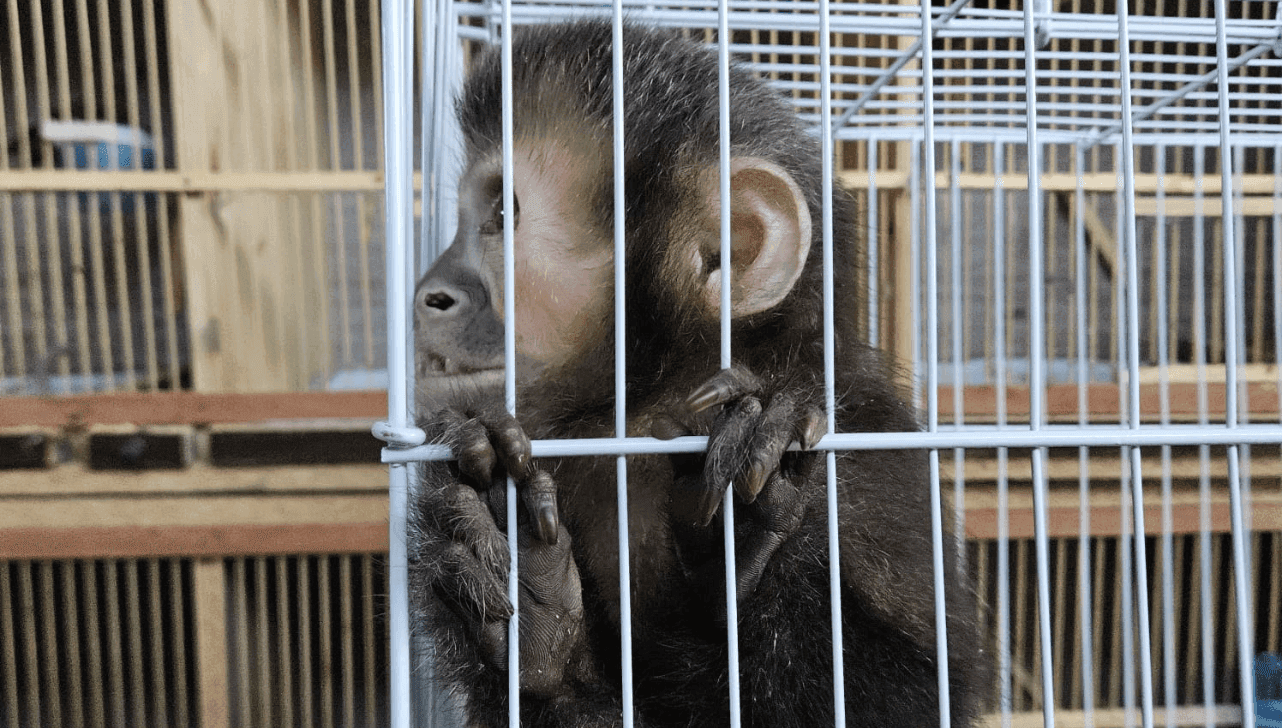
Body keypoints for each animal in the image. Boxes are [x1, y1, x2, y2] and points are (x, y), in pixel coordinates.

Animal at [408, 19, 984, 728]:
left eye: (499, 216)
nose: (430, 293)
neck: (655, 403)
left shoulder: (866, 453)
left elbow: (916, 694)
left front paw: (749, 532)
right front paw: (534, 620)